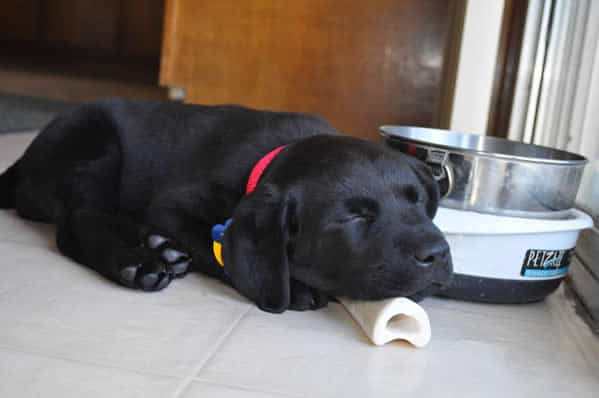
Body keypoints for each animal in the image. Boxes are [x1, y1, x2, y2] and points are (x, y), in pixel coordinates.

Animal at [0, 98, 450, 312]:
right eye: (355, 216)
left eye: (417, 201)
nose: (439, 253)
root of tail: (25, 160)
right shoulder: (171, 206)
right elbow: (214, 248)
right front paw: (296, 288)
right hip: (98, 147)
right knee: (75, 221)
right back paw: (138, 261)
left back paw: (158, 247)